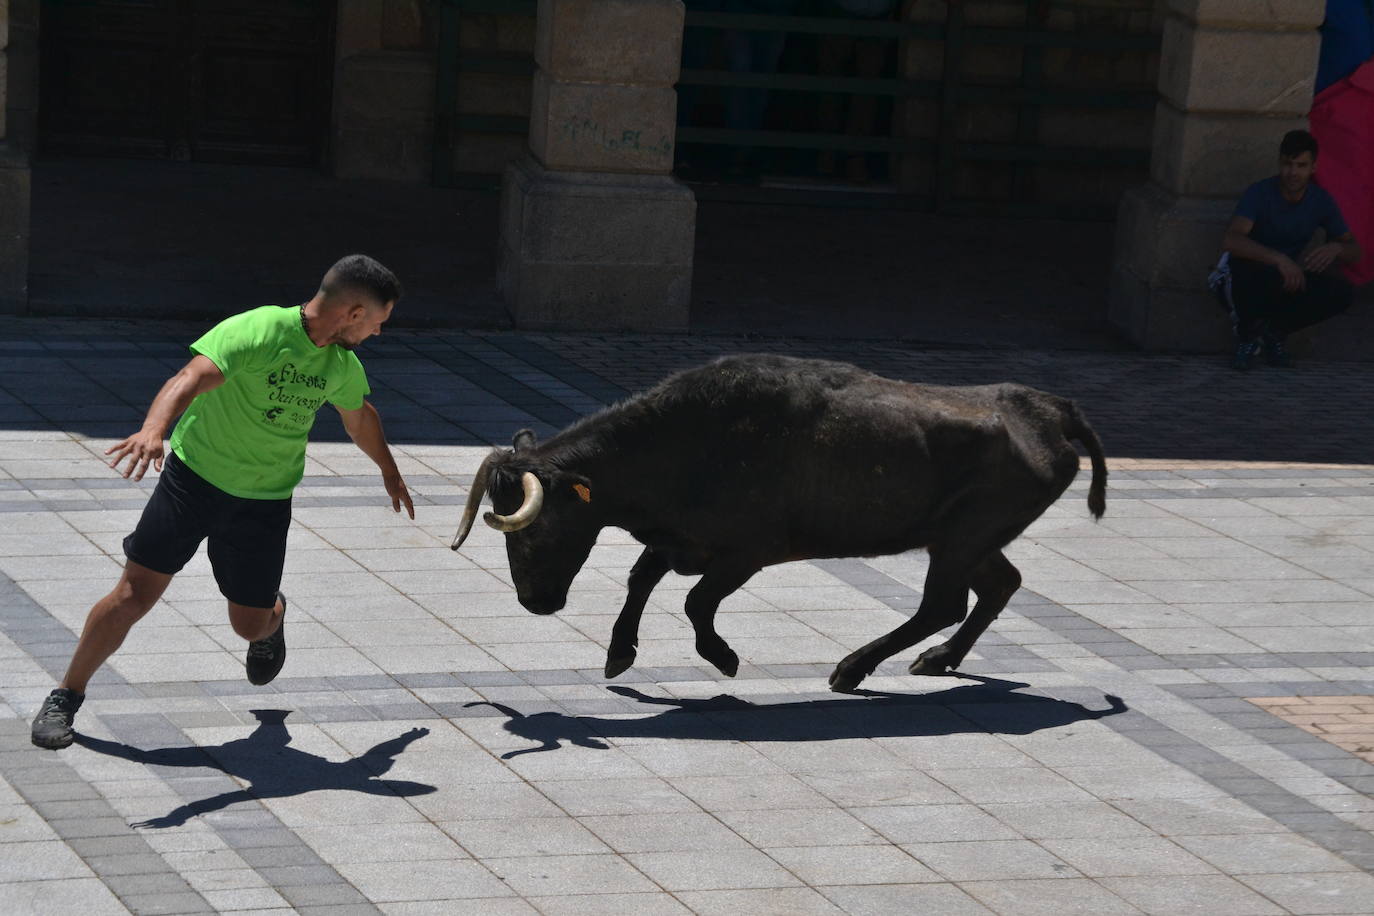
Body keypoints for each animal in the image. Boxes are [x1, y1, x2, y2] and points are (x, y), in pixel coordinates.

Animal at [453, 354, 1104, 692]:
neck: (684, 439)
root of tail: (1050, 409)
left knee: (942, 604)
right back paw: (938, 659)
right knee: (998, 585)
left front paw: (722, 657)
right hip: (967, 538)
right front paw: (619, 653)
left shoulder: (747, 552)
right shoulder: (678, 540)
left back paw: (852, 668)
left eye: (536, 527)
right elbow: (641, 581)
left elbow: (694, 602)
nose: (535, 602)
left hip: (963, 538)